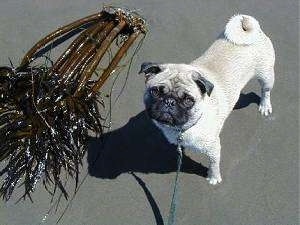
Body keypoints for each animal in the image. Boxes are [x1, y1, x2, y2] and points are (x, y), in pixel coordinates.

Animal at [139, 14, 276, 185]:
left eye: (188, 100)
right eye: (156, 92)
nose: (169, 102)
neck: (182, 128)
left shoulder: (213, 149)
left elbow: (214, 164)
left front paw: (214, 177)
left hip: (266, 75)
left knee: (266, 91)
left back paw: (265, 105)